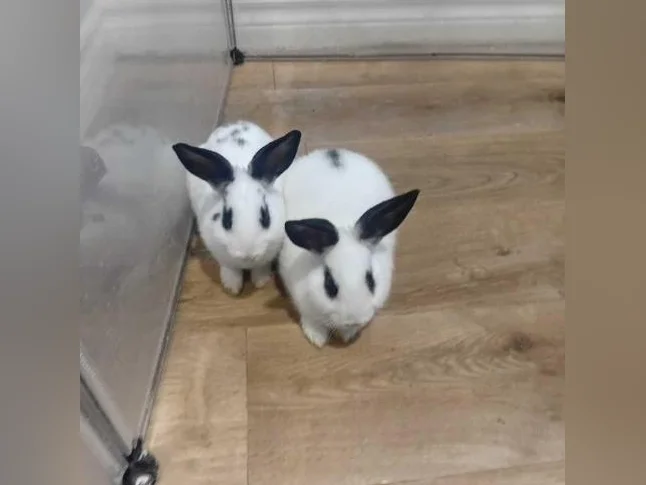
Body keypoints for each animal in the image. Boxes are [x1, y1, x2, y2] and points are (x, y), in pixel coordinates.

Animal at [172, 121, 302, 295]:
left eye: (266, 217)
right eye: (226, 219)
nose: (248, 255)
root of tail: (235, 123)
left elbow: (261, 267)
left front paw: (260, 281)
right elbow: (230, 268)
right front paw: (232, 287)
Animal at [278, 148, 420, 348]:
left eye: (371, 281)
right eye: (329, 285)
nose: (354, 320)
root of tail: (333, 151)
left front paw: (347, 334)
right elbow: (310, 319)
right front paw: (317, 338)